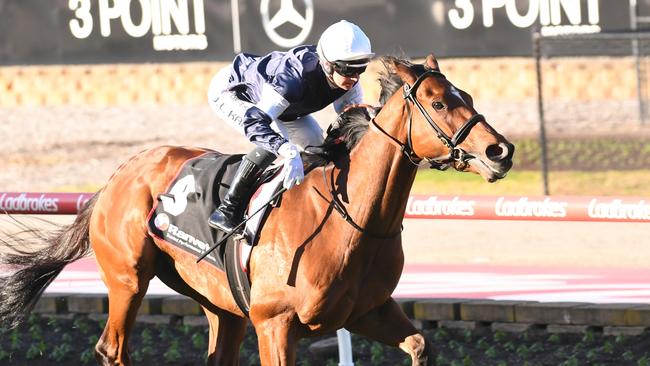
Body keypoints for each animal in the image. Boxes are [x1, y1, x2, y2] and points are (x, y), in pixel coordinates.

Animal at [2, 55, 512, 364]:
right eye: (439, 102)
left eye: (467, 97)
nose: (500, 151)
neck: (353, 222)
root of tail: (118, 174)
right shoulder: (275, 325)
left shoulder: (368, 310)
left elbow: (420, 343)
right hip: (127, 279)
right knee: (113, 348)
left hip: (220, 304)